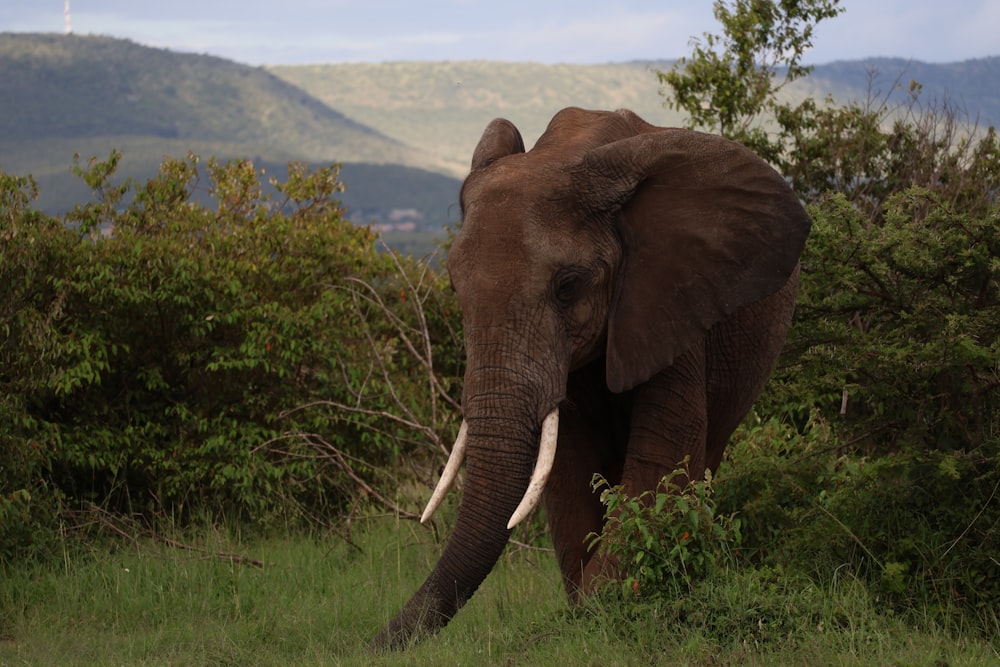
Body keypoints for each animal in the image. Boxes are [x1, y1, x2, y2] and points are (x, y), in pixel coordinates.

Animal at [372, 107, 808, 648]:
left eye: (569, 285)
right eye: (453, 285)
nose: (369, 644)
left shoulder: (669, 294)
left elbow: (662, 459)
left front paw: (598, 609)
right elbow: (570, 470)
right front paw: (587, 611)